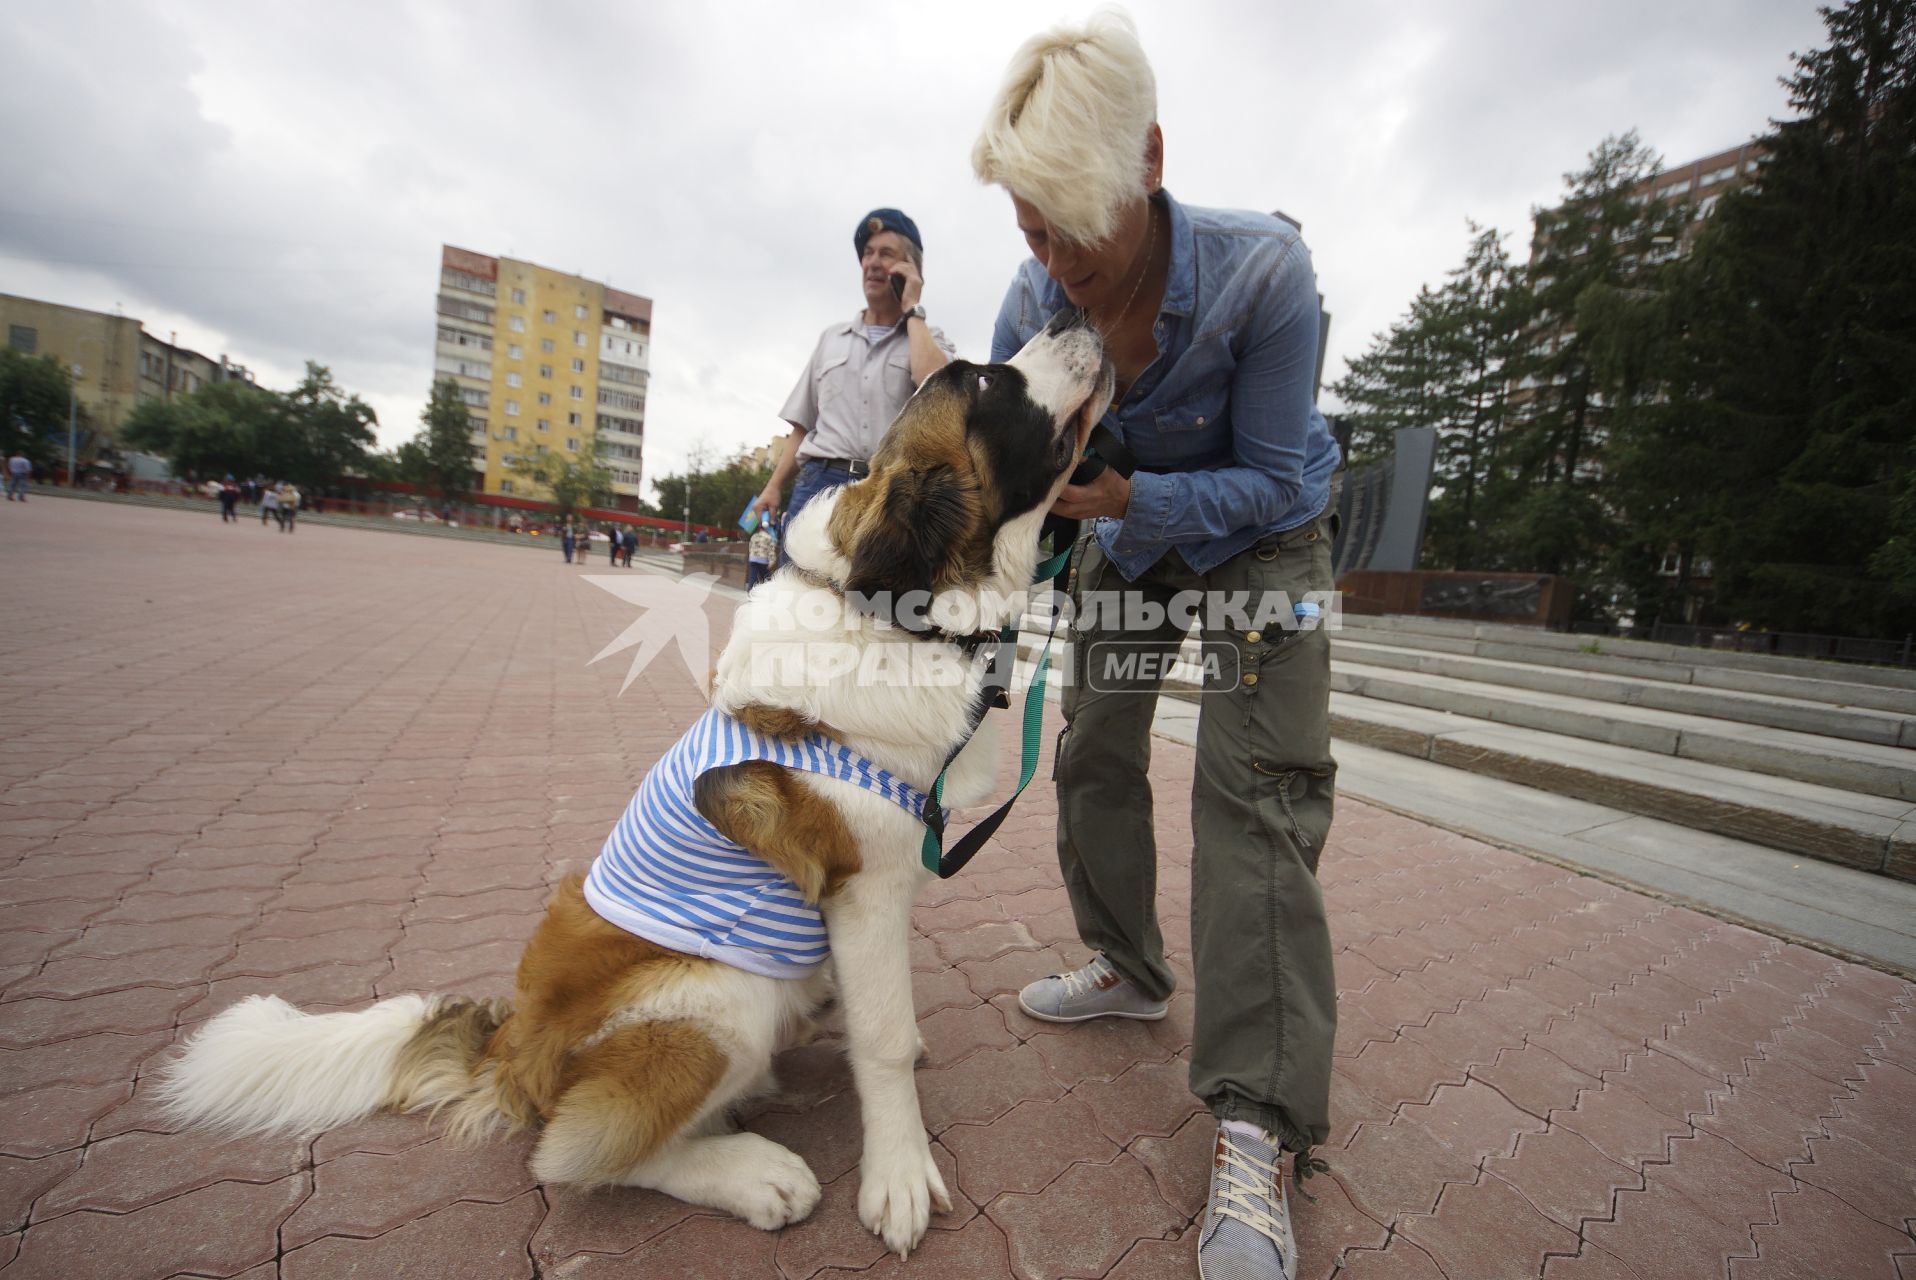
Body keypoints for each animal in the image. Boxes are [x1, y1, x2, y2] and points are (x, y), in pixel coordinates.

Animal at [166, 314, 1118, 1257]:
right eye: (985, 382)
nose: (1075, 316)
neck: (900, 611)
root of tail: (511, 1045)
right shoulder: (866, 887)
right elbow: (880, 1037)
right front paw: (899, 1176)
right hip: (714, 997)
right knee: (570, 1153)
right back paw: (753, 1174)